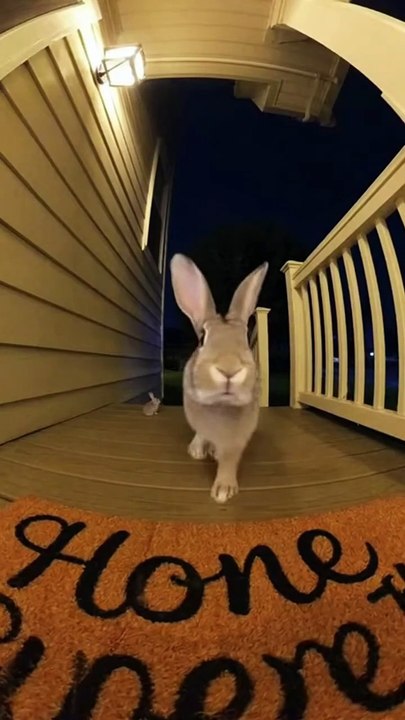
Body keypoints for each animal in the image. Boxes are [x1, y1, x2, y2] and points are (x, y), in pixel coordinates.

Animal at [170, 253, 268, 504]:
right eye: (202, 338)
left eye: (245, 339)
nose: (229, 369)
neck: (221, 405)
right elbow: (203, 434)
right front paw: (198, 451)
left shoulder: (237, 439)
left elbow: (229, 460)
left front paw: (223, 491)